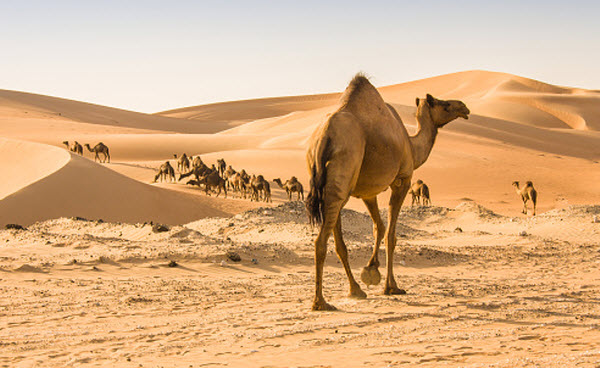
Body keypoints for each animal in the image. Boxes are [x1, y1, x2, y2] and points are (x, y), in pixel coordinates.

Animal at [308, 75, 472, 310]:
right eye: (445, 104)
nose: (464, 107)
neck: (412, 145)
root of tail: (323, 138)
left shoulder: (368, 193)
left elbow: (379, 227)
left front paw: (371, 271)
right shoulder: (402, 180)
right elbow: (391, 235)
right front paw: (391, 286)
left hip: (332, 186)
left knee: (338, 241)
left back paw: (355, 290)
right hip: (343, 172)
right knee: (321, 240)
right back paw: (321, 302)